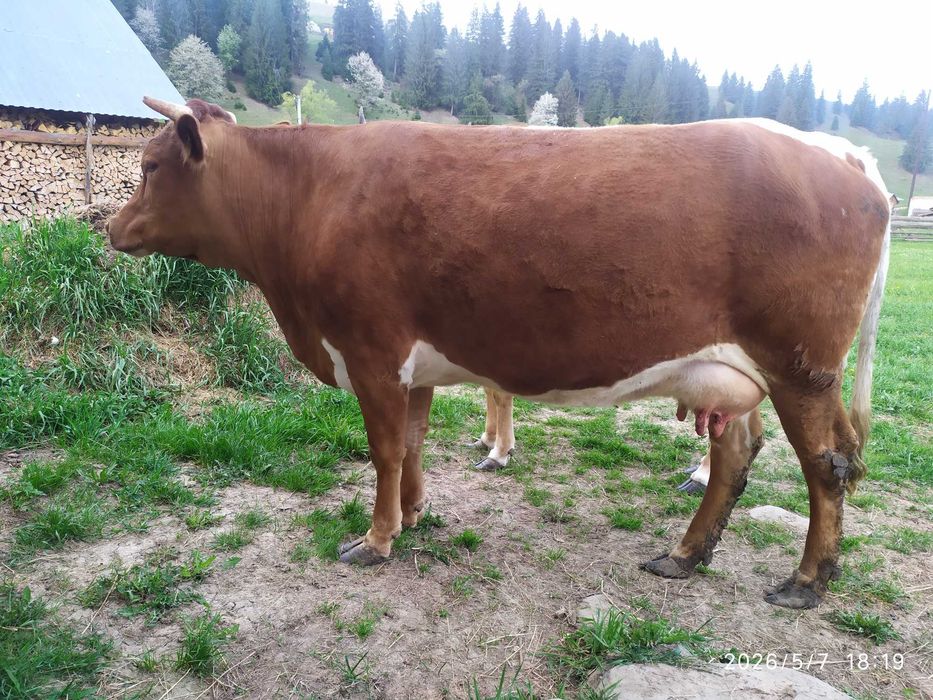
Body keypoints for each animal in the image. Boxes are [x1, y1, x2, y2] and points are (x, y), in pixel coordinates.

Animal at [108, 98, 891, 609]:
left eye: (150, 165)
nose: (110, 227)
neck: (307, 197)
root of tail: (838, 150)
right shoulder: (412, 365)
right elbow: (413, 443)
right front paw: (414, 515)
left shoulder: (370, 351)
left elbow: (384, 450)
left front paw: (377, 538)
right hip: (730, 371)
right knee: (735, 454)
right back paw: (684, 557)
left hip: (800, 366)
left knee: (827, 467)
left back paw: (806, 582)